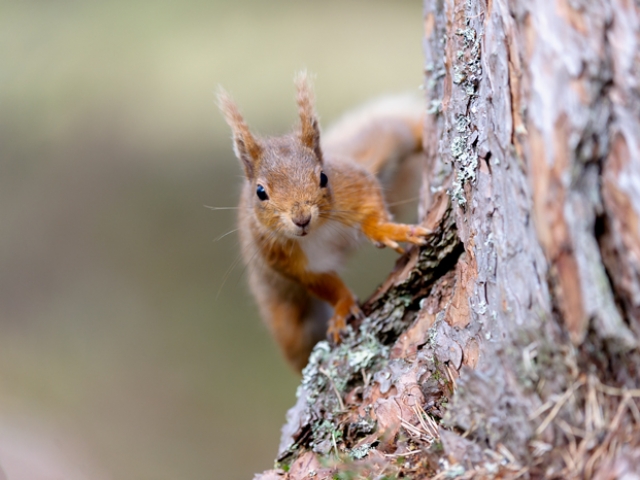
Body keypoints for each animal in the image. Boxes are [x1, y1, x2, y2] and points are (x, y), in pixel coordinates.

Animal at [216, 72, 430, 372]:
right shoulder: (283, 258)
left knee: (395, 129)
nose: (301, 218)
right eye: (260, 192)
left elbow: (371, 205)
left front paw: (385, 229)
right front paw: (342, 307)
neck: (318, 231)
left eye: (324, 177)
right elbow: (323, 282)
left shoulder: (354, 183)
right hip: (288, 321)